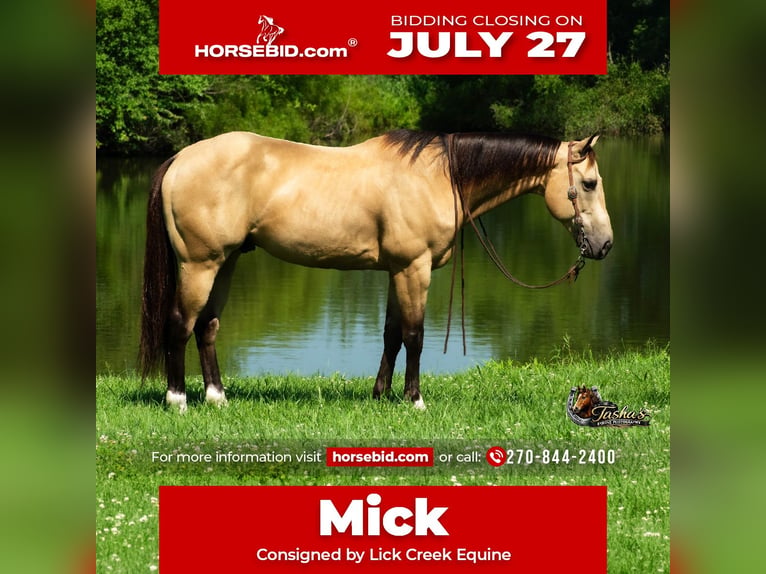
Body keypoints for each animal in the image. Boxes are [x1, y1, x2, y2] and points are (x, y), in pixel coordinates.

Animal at [139, 130, 613, 412]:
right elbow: (414, 336)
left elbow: (391, 335)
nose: (605, 245)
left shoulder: (395, 271)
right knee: (180, 325)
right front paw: (415, 399)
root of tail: (179, 159)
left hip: (227, 262)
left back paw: (217, 397)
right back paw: (177, 399)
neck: (438, 177)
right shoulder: (414, 269)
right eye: (589, 184)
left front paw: (381, 394)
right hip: (200, 264)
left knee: (207, 327)